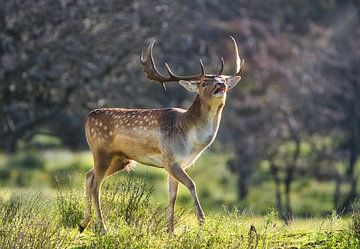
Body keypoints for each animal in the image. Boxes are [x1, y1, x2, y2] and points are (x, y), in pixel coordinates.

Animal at [79, 36, 245, 234]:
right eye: (204, 82)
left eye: (222, 79)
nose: (222, 84)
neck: (190, 138)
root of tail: (88, 117)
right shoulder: (170, 159)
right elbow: (192, 184)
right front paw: (201, 220)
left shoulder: (179, 164)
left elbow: (172, 196)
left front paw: (171, 231)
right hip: (101, 151)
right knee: (96, 184)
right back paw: (103, 228)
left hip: (120, 159)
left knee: (89, 175)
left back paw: (83, 224)